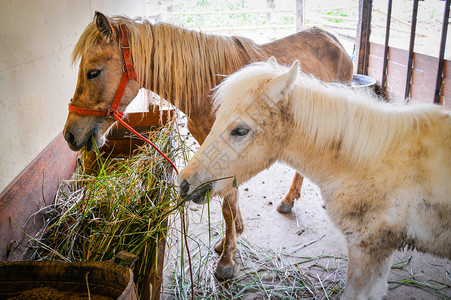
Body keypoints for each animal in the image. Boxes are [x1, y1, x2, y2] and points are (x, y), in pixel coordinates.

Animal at [63, 11, 354, 278]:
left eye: (93, 72)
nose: (69, 135)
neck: (209, 87)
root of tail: (333, 39)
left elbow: (227, 204)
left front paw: (227, 259)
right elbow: (229, 200)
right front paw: (232, 236)